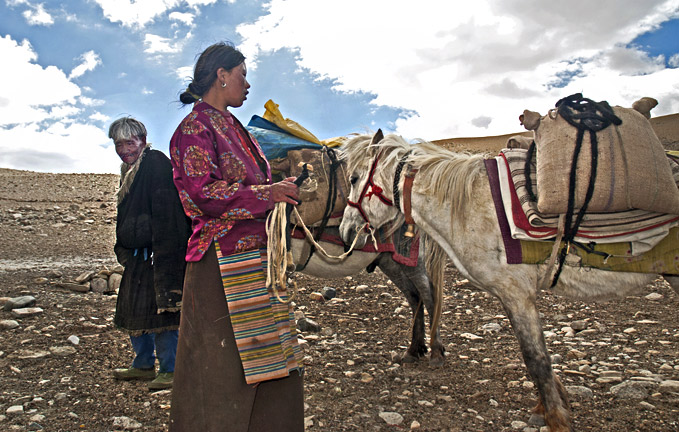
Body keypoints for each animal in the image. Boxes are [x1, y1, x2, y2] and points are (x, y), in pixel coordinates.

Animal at [340, 131, 679, 432]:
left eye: (354, 179)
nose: (345, 231)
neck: (467, 205)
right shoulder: (513, 296)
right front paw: (548, 409)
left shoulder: (517, 293)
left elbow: (536, 358)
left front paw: (557, 419)